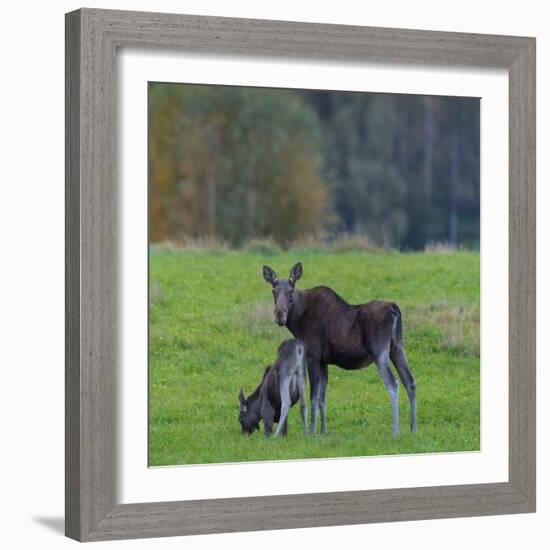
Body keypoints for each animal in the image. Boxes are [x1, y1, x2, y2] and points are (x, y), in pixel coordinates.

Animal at [264, 264, 418, 436]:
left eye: (291, 291)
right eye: (273, 291)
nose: (279, 315)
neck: (297, 320)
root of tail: (395, 309)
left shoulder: (312, 357)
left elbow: (314, 397)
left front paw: (312, 432)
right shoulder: (324, 362)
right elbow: (323, 398)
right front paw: (323, 431)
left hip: (380, 353)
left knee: (393, 384)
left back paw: (395, 431)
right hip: (397, 348)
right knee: (410, 381)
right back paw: (413, 428)